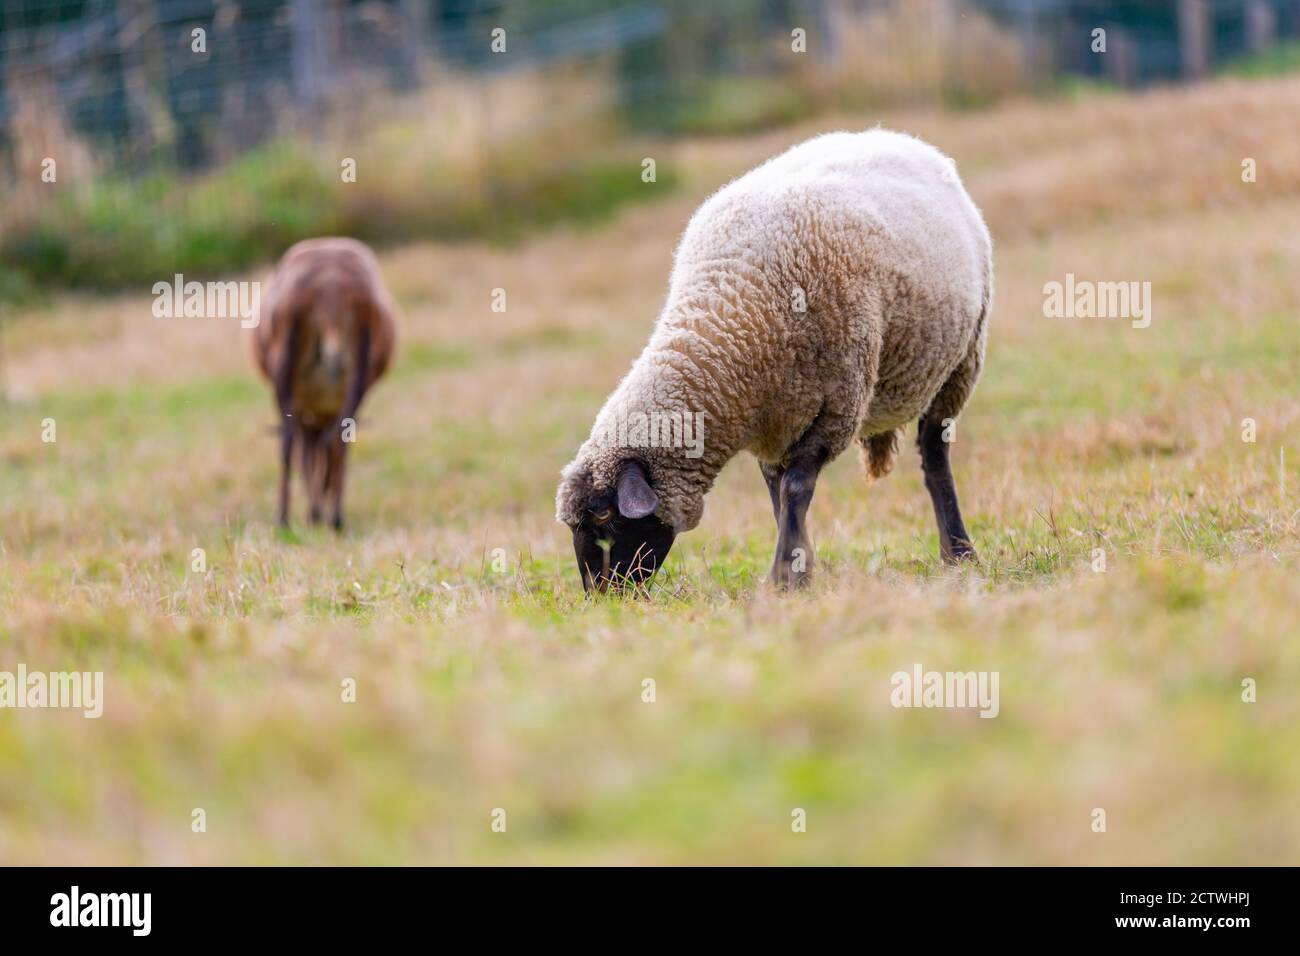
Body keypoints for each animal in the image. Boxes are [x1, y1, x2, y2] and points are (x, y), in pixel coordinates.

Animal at [249, 237, 397, 530]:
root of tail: (331, 289)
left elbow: (308, 451)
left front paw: (314, 509)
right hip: (356, 371)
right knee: (335, 439)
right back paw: (332, 517)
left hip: (285, 365)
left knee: (292, 441)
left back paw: (290, 517)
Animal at [556, 129, 991, 592]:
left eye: (604, 514)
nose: (599, 595)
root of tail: (893, 135)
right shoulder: (772, 423)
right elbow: (775, 490)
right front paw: (801, 568)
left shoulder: (838, 406)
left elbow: (795, 488)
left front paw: (785, 577)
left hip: (961, 362)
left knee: (935, 455)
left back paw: (959, 552)